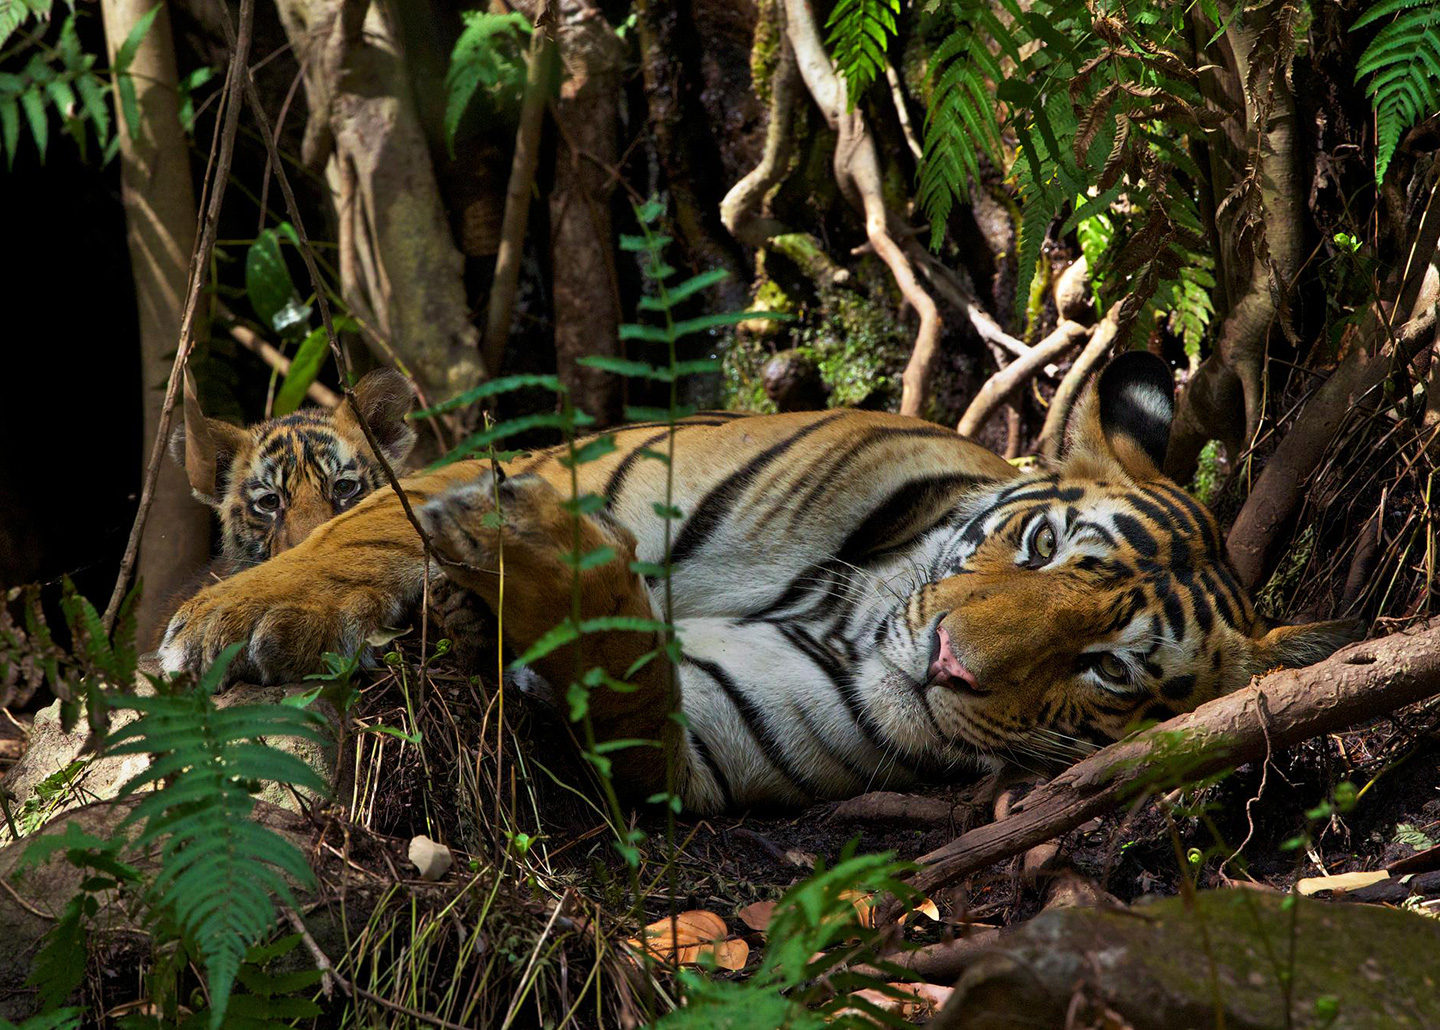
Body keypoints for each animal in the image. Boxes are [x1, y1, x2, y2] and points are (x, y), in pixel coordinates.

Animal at [159, 353, 1362, 813]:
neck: (854, 610)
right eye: (1039, 546)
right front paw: (238, 612)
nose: (950, 664)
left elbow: (628, 673)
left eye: (1108, 668)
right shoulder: (573, 462)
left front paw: (542, 572)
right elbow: (361, 527)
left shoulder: (701, 742)